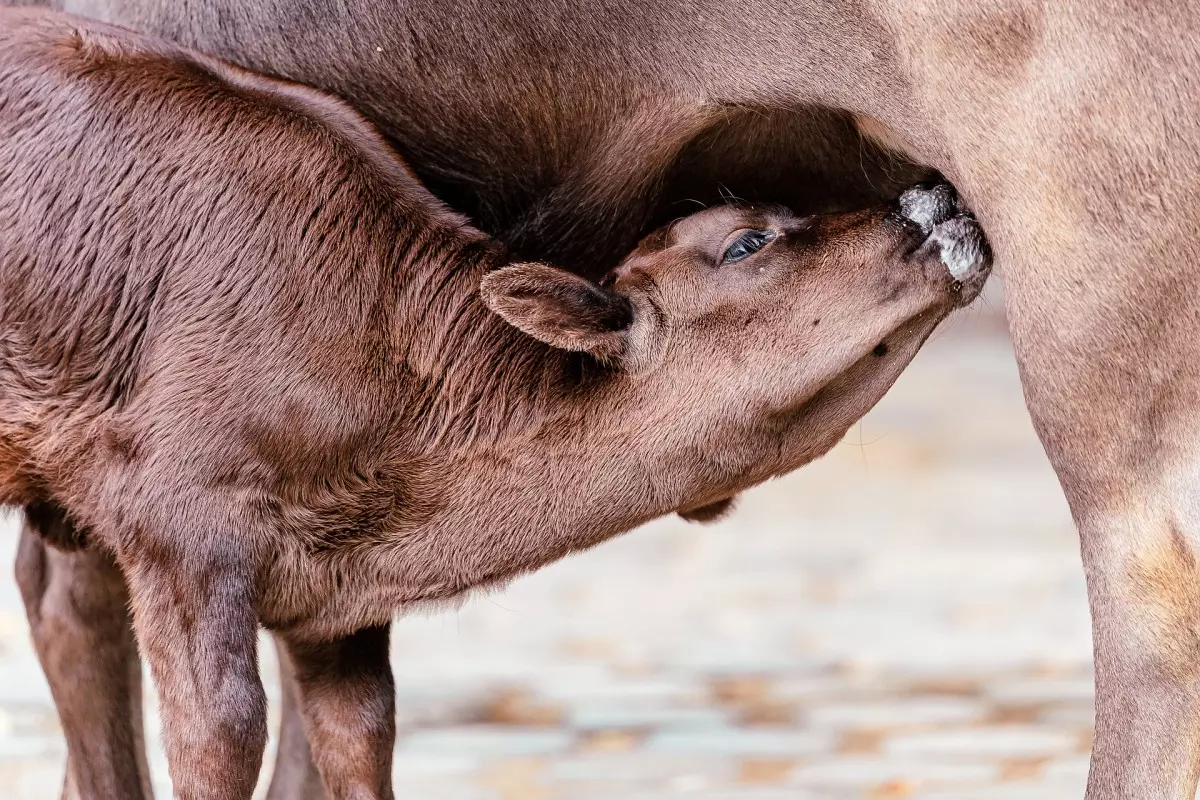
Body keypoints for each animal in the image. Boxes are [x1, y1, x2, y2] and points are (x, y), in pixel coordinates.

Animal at [14, 1, 1200, 800]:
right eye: (744, 238)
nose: (931, 200)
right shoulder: (179, 531)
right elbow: (216, 730)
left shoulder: (327, 605)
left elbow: (349, 738)